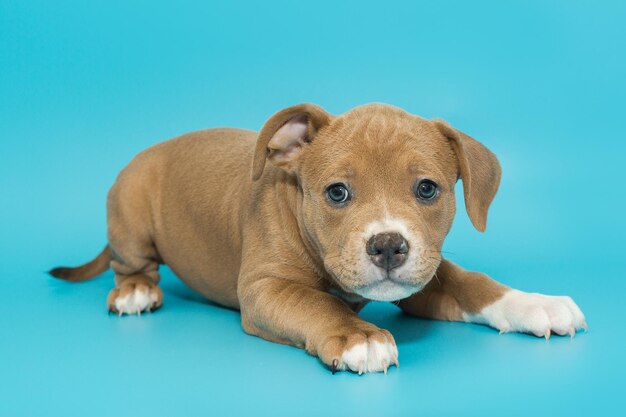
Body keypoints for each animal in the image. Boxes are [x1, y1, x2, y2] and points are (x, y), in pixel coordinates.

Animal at [50, 102, 584, 372]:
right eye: (337, 192)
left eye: (427, 189)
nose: (387, 246)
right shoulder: (265, 290)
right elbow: (316, 302)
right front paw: (358, 336)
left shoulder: (426, 274)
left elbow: (470, 282)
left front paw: (534, 303)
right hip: (131, 206)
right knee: (129, 264)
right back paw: (136, 291)